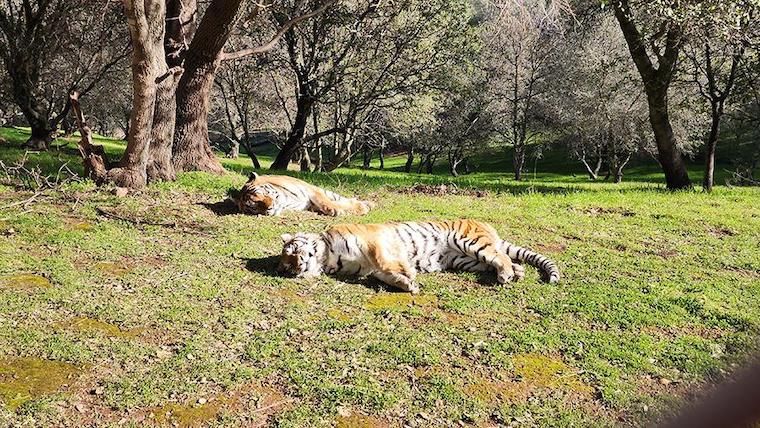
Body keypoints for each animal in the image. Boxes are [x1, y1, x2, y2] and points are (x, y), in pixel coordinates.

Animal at [235, 172, 373, 216]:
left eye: (262, 195)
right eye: (254, 206)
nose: (270, 207)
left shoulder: (312, 191)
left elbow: (326, 202)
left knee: (340, 198)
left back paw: (368, 204)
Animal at [277, 219, 560, 293]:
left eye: (293, 251)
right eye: (286, 267)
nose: (297, 266)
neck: (327, 257)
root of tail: (485, 224)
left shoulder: (373, 241)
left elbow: (384, 259)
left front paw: (410, 273)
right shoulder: (370, 270)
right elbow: (386, 275)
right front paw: (407, 284)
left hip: (471, 243)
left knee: (501, 257)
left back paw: (506, 275)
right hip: (468, 260)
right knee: (506, 259)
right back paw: (515, 273)